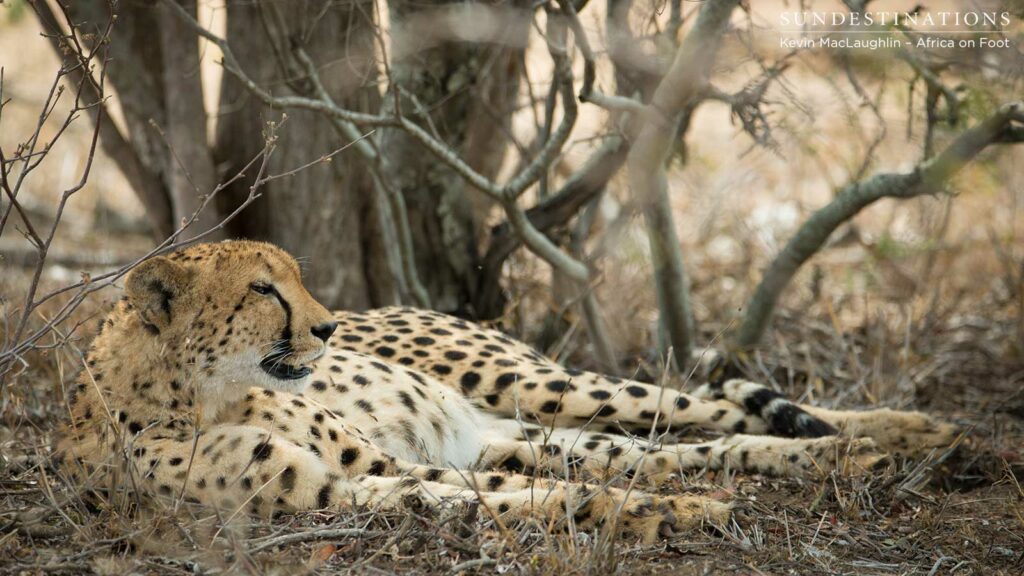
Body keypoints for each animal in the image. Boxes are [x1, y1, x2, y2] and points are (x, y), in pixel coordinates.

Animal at [57, 240, 960, 543]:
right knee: (665, 450)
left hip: (525, 379)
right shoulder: (341, 485)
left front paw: (674, 515)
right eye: (260, 290)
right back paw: (860, 453)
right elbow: (515, 497)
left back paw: (904, 432)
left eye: (296, 278)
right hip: (515, 427)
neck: (198, 394)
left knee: (708, 409)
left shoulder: (368, 462)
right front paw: (672, 515)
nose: (327, 328)